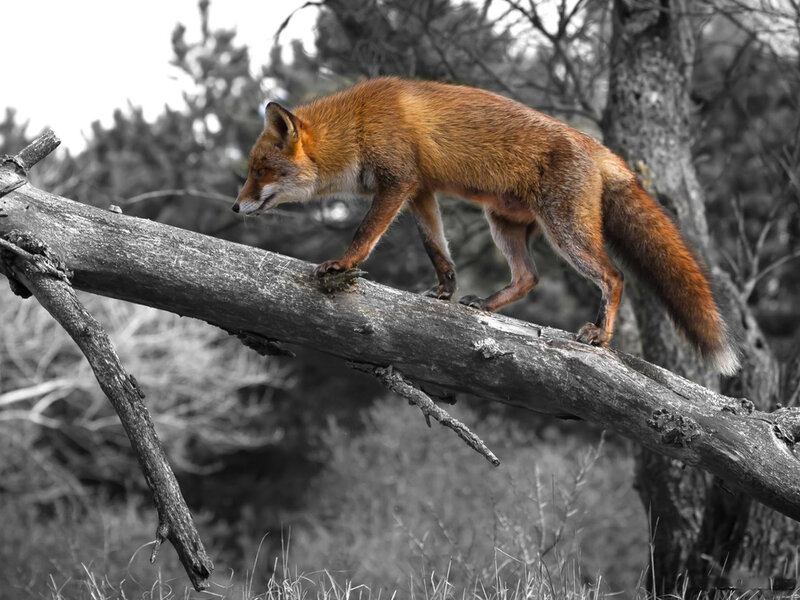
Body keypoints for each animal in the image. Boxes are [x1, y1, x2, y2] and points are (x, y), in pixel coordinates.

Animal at [233, 76, 739, 375]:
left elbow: (364, 235)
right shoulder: (421, 191)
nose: (236, 207)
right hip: (503, 224)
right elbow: (437, 248)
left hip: (566, 233)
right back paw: (487, 306)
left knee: (613, 276)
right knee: (528, 277)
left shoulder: (398, 183)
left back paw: (600, 335)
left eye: (260, 171)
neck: (358, 124)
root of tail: (597, 147)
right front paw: (445, 291)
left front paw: (342, 265)